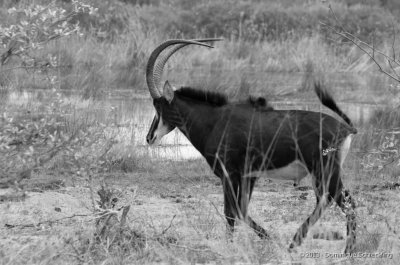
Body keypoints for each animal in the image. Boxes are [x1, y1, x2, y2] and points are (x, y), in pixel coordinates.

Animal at [145, 38, 358, 252]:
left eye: (158, 107)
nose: (149, 137)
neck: (215, 121)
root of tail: (345, 128)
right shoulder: (249, 176)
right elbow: (242, 210)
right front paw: (268, 238)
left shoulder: (229, 174)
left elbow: (230, 211)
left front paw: (230, 246)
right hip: (320, 175)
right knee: (326, 201)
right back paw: (297, 242)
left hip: (325, 171)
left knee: (346, 202)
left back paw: (343, 250)